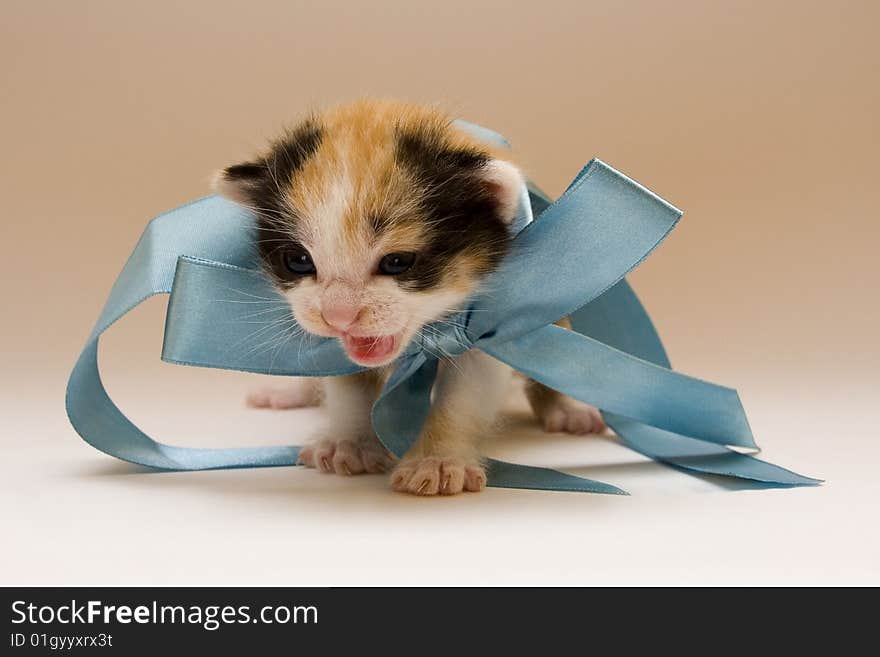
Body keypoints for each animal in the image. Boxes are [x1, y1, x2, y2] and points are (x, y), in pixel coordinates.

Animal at [211, 100, 604, 494]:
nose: (337, 316)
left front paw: (439, 460)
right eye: (298, 261)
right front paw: (350, 444)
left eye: (397, 262)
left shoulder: (487, 326)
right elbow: (348, 385)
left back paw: (567, 409)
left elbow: (464, 396)